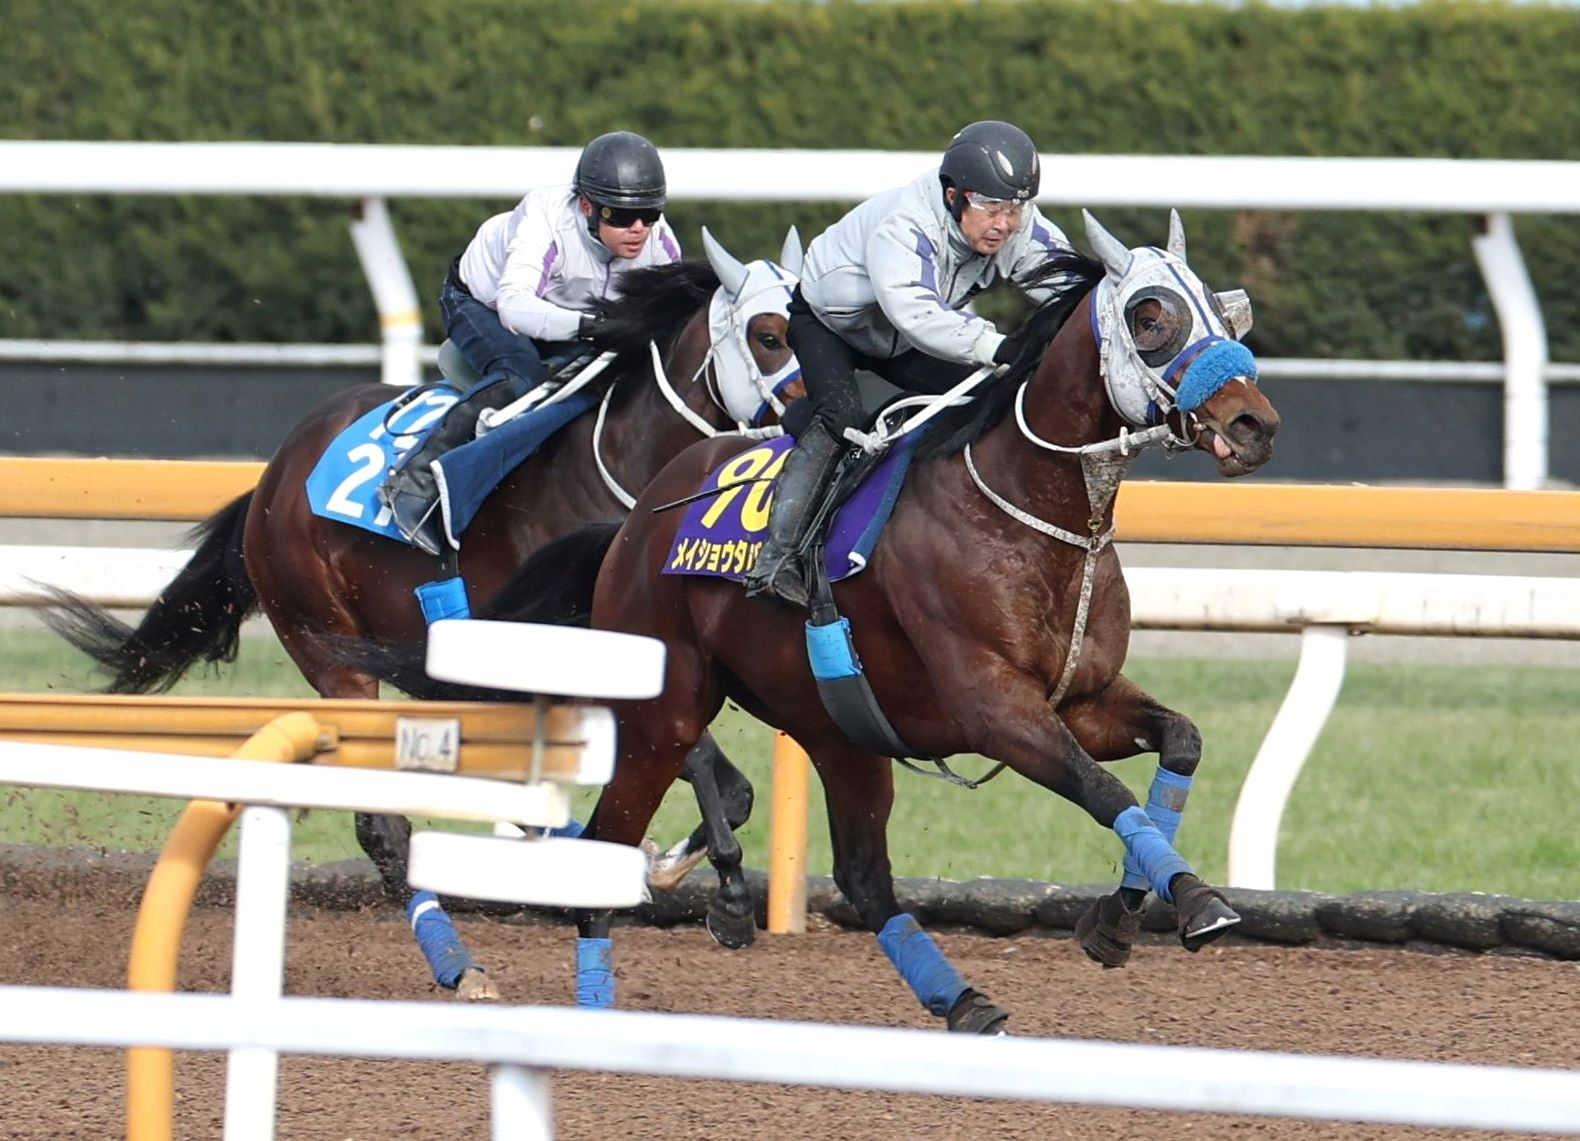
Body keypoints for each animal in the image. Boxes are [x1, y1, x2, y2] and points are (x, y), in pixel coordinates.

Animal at [42, 228, 805, 999]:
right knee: (382, 826)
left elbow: (730, 788)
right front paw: (722, 896)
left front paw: (667, 863)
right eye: (769, 334)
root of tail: (275, 472)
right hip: (328, 648)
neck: (625, 465)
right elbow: (700, 764)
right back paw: (458, 963)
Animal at [364, 209, 1282, 1029]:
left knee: (864, 876)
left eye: (1218, 305)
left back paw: (963, 1001)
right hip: (664, 714)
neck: (1028, 510)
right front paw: (1197, 898)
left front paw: (1120, 918)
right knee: (608, 843)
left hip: (842, 730)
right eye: (1151, 315)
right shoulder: (997, 708)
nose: (1253, 424)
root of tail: (640, 517)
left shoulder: (1081, 698)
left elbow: (1179, 745)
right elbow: (1103, 790)